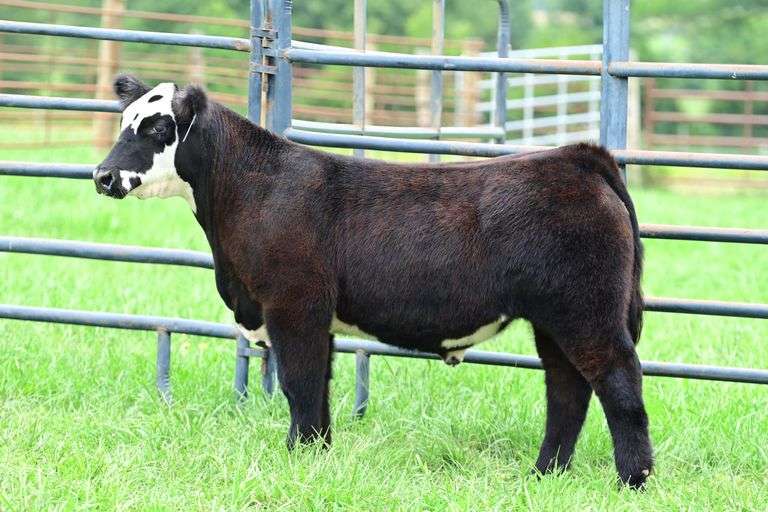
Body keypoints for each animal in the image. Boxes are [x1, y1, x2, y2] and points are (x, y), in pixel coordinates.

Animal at [93, 75, 653, 488]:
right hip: (555, 320)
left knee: (618, 382)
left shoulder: (293, 306)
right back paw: (544, 474)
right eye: (124, 123)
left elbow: (299, 383)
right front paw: (315, 454)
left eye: (158, 129)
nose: (102, 176)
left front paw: (297, 457)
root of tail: (577, 156)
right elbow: (317, 388)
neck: (252, 188)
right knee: (567, 390)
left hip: (587, 312)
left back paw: (633, 481)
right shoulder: (312, 316)